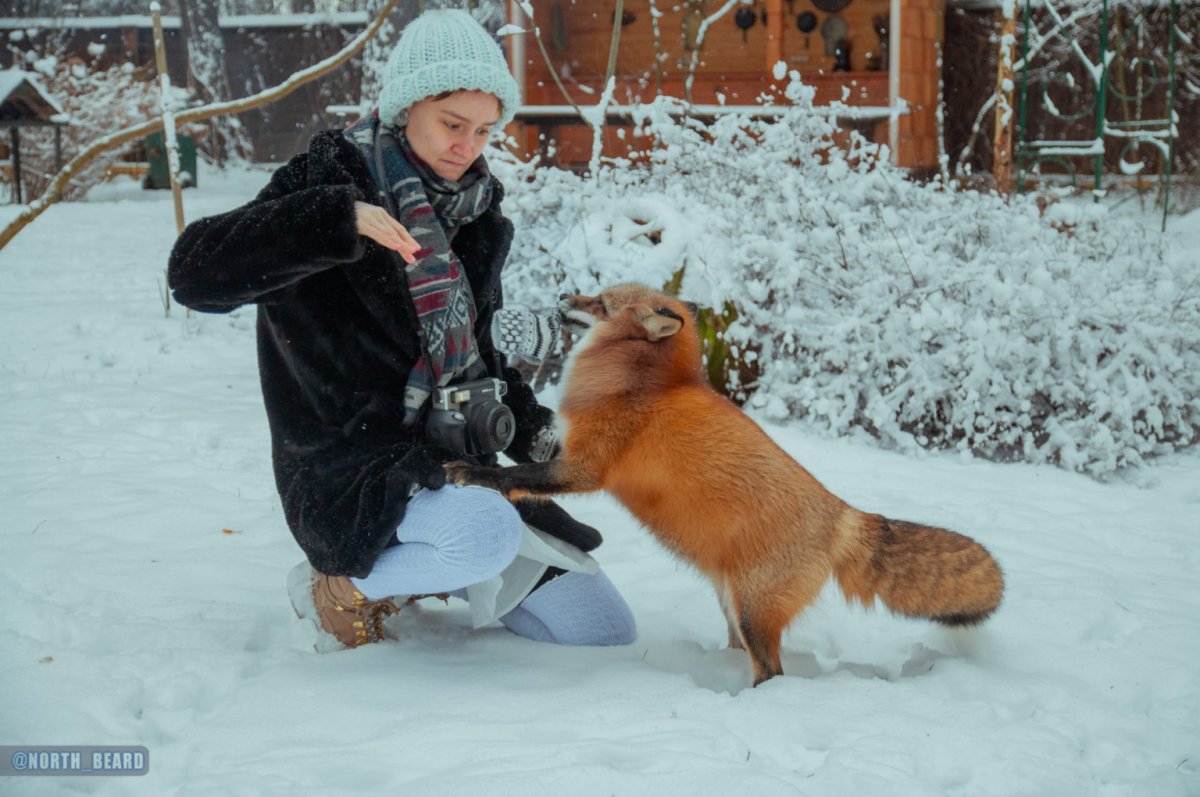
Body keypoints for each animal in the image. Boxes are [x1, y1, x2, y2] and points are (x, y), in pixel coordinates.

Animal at [446, 283, 1004, 686]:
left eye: (600, 302)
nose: (564, 294)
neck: (644, 381)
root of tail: (842, 515)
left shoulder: (586, 468)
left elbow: (516, 477)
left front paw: (474, 472)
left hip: (753, 614)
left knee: (773, 672)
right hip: (733, 606)